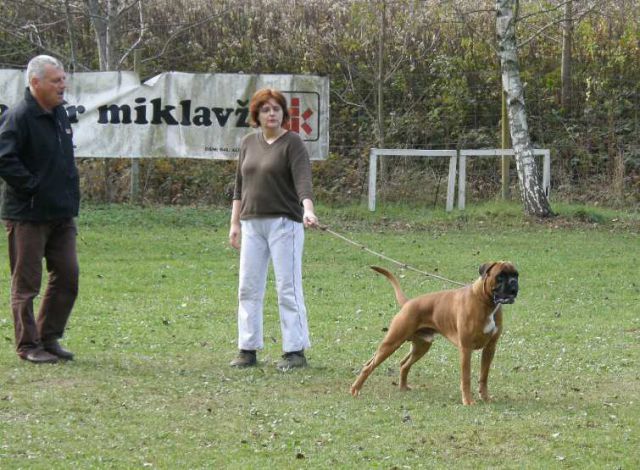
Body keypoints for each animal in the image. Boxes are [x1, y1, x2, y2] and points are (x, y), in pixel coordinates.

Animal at [350, 262, 520, 406]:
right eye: (500, 276)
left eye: (516, 275)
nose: (513, 282)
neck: (485, 302)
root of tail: (408, 303)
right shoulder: (466, 349)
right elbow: (466, 377)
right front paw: (468, 401)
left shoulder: (490, 348)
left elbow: (484, 376)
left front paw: (485, 397)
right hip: (392, 342)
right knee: (369, 366)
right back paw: (355, 389)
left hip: (421, 346)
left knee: (403, 364)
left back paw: (403, 387)